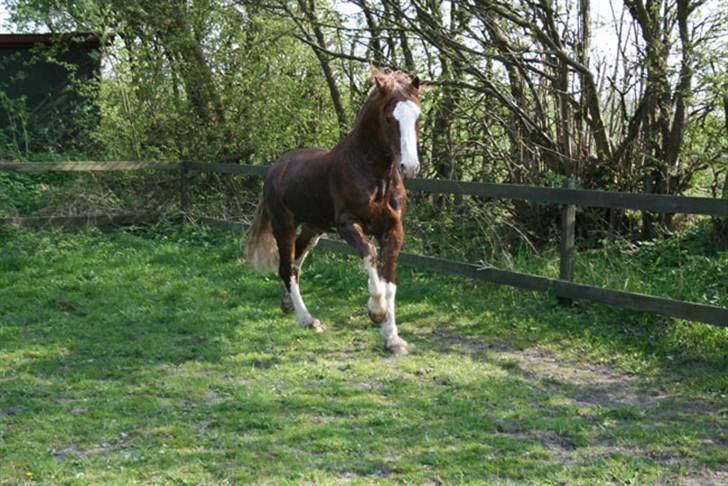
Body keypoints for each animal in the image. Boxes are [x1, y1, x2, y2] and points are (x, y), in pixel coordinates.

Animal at [249, 68, 424, 356]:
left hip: (313, 228)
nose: (409, 166)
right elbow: (370, 255)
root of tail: (276, 167)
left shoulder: (393, 229)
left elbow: (389, 281)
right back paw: (307, 319)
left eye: (418, 117)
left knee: (294, 260)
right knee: (288, 266)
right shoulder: (347, 224)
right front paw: (376, 312)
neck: (375, 176)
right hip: (284, 225)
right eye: (390, 118)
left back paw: (287, 305)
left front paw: (392, 338)